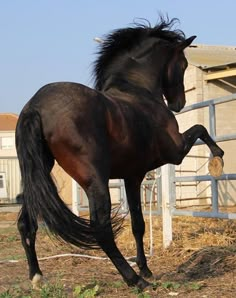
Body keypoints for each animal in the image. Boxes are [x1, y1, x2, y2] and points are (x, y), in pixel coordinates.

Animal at [16, 17, 223, 290]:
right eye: (183, 64)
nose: (178, 104)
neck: (137, 91)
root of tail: (35, 106)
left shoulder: (131, 176)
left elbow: (138, 224)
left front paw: (146, 268)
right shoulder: (174, 152)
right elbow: (200, 128)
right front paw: (218, 155)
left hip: (36, 177)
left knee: (26, 223)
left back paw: (37, 277)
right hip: (94, 182)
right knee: (102, 230)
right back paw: (134, 280)